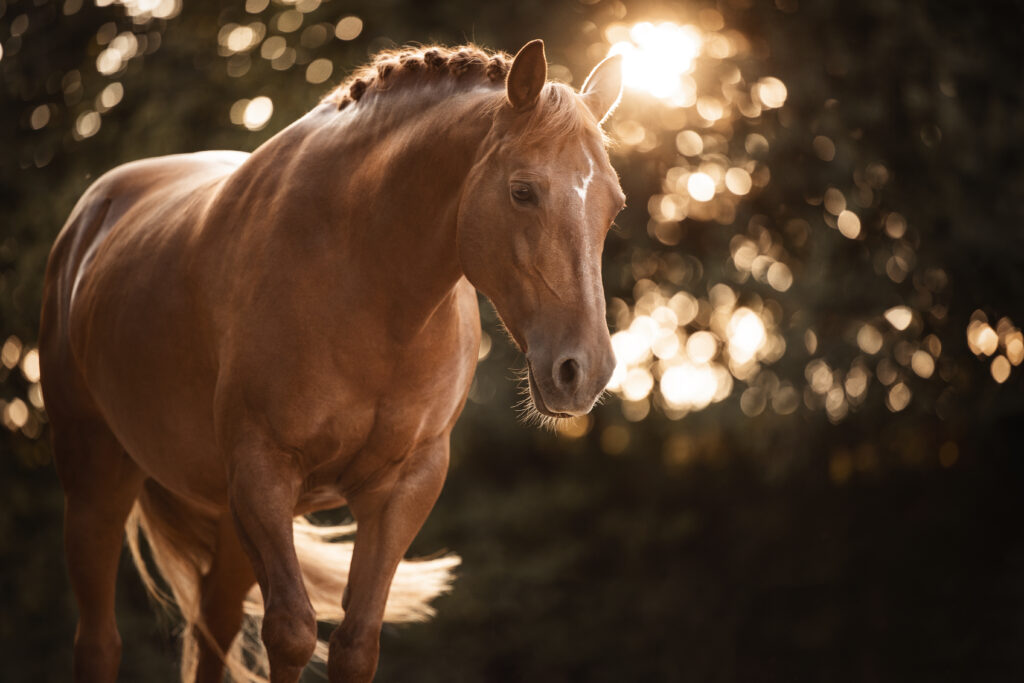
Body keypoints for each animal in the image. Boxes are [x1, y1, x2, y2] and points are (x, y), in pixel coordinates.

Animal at [39, 40, 622, 679]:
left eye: (614, 205)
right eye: (522, 191)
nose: (583, 370)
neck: (364, 278)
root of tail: (91, 216)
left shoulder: (404, 486)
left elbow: (355, 644)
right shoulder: (263, 471)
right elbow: (292, 633)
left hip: (225, 517)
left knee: (213, 629)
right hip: (96, 477)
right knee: (99, 642)